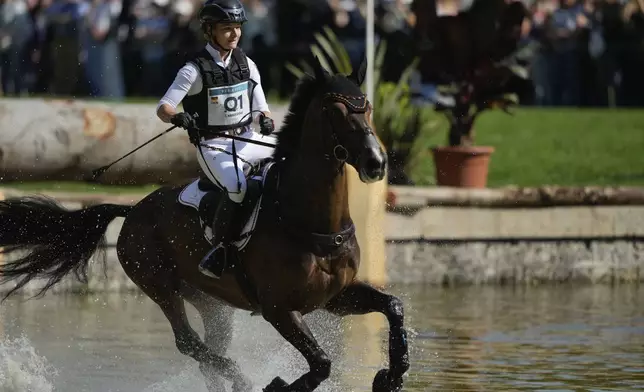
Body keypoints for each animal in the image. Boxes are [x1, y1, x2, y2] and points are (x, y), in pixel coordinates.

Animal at [0, 57, 410, 392]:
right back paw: (242, 379)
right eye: (334, 110)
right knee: (189, 343)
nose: (376, 163)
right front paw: (278, 385)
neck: (311, 222)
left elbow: (393, 306)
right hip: (159, 284)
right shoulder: (279, 308)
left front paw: (391, 377)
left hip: (211, 300)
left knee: (208, 350)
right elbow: (322, 363)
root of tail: (132, 211)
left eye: (367, 107)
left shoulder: (334, 298)